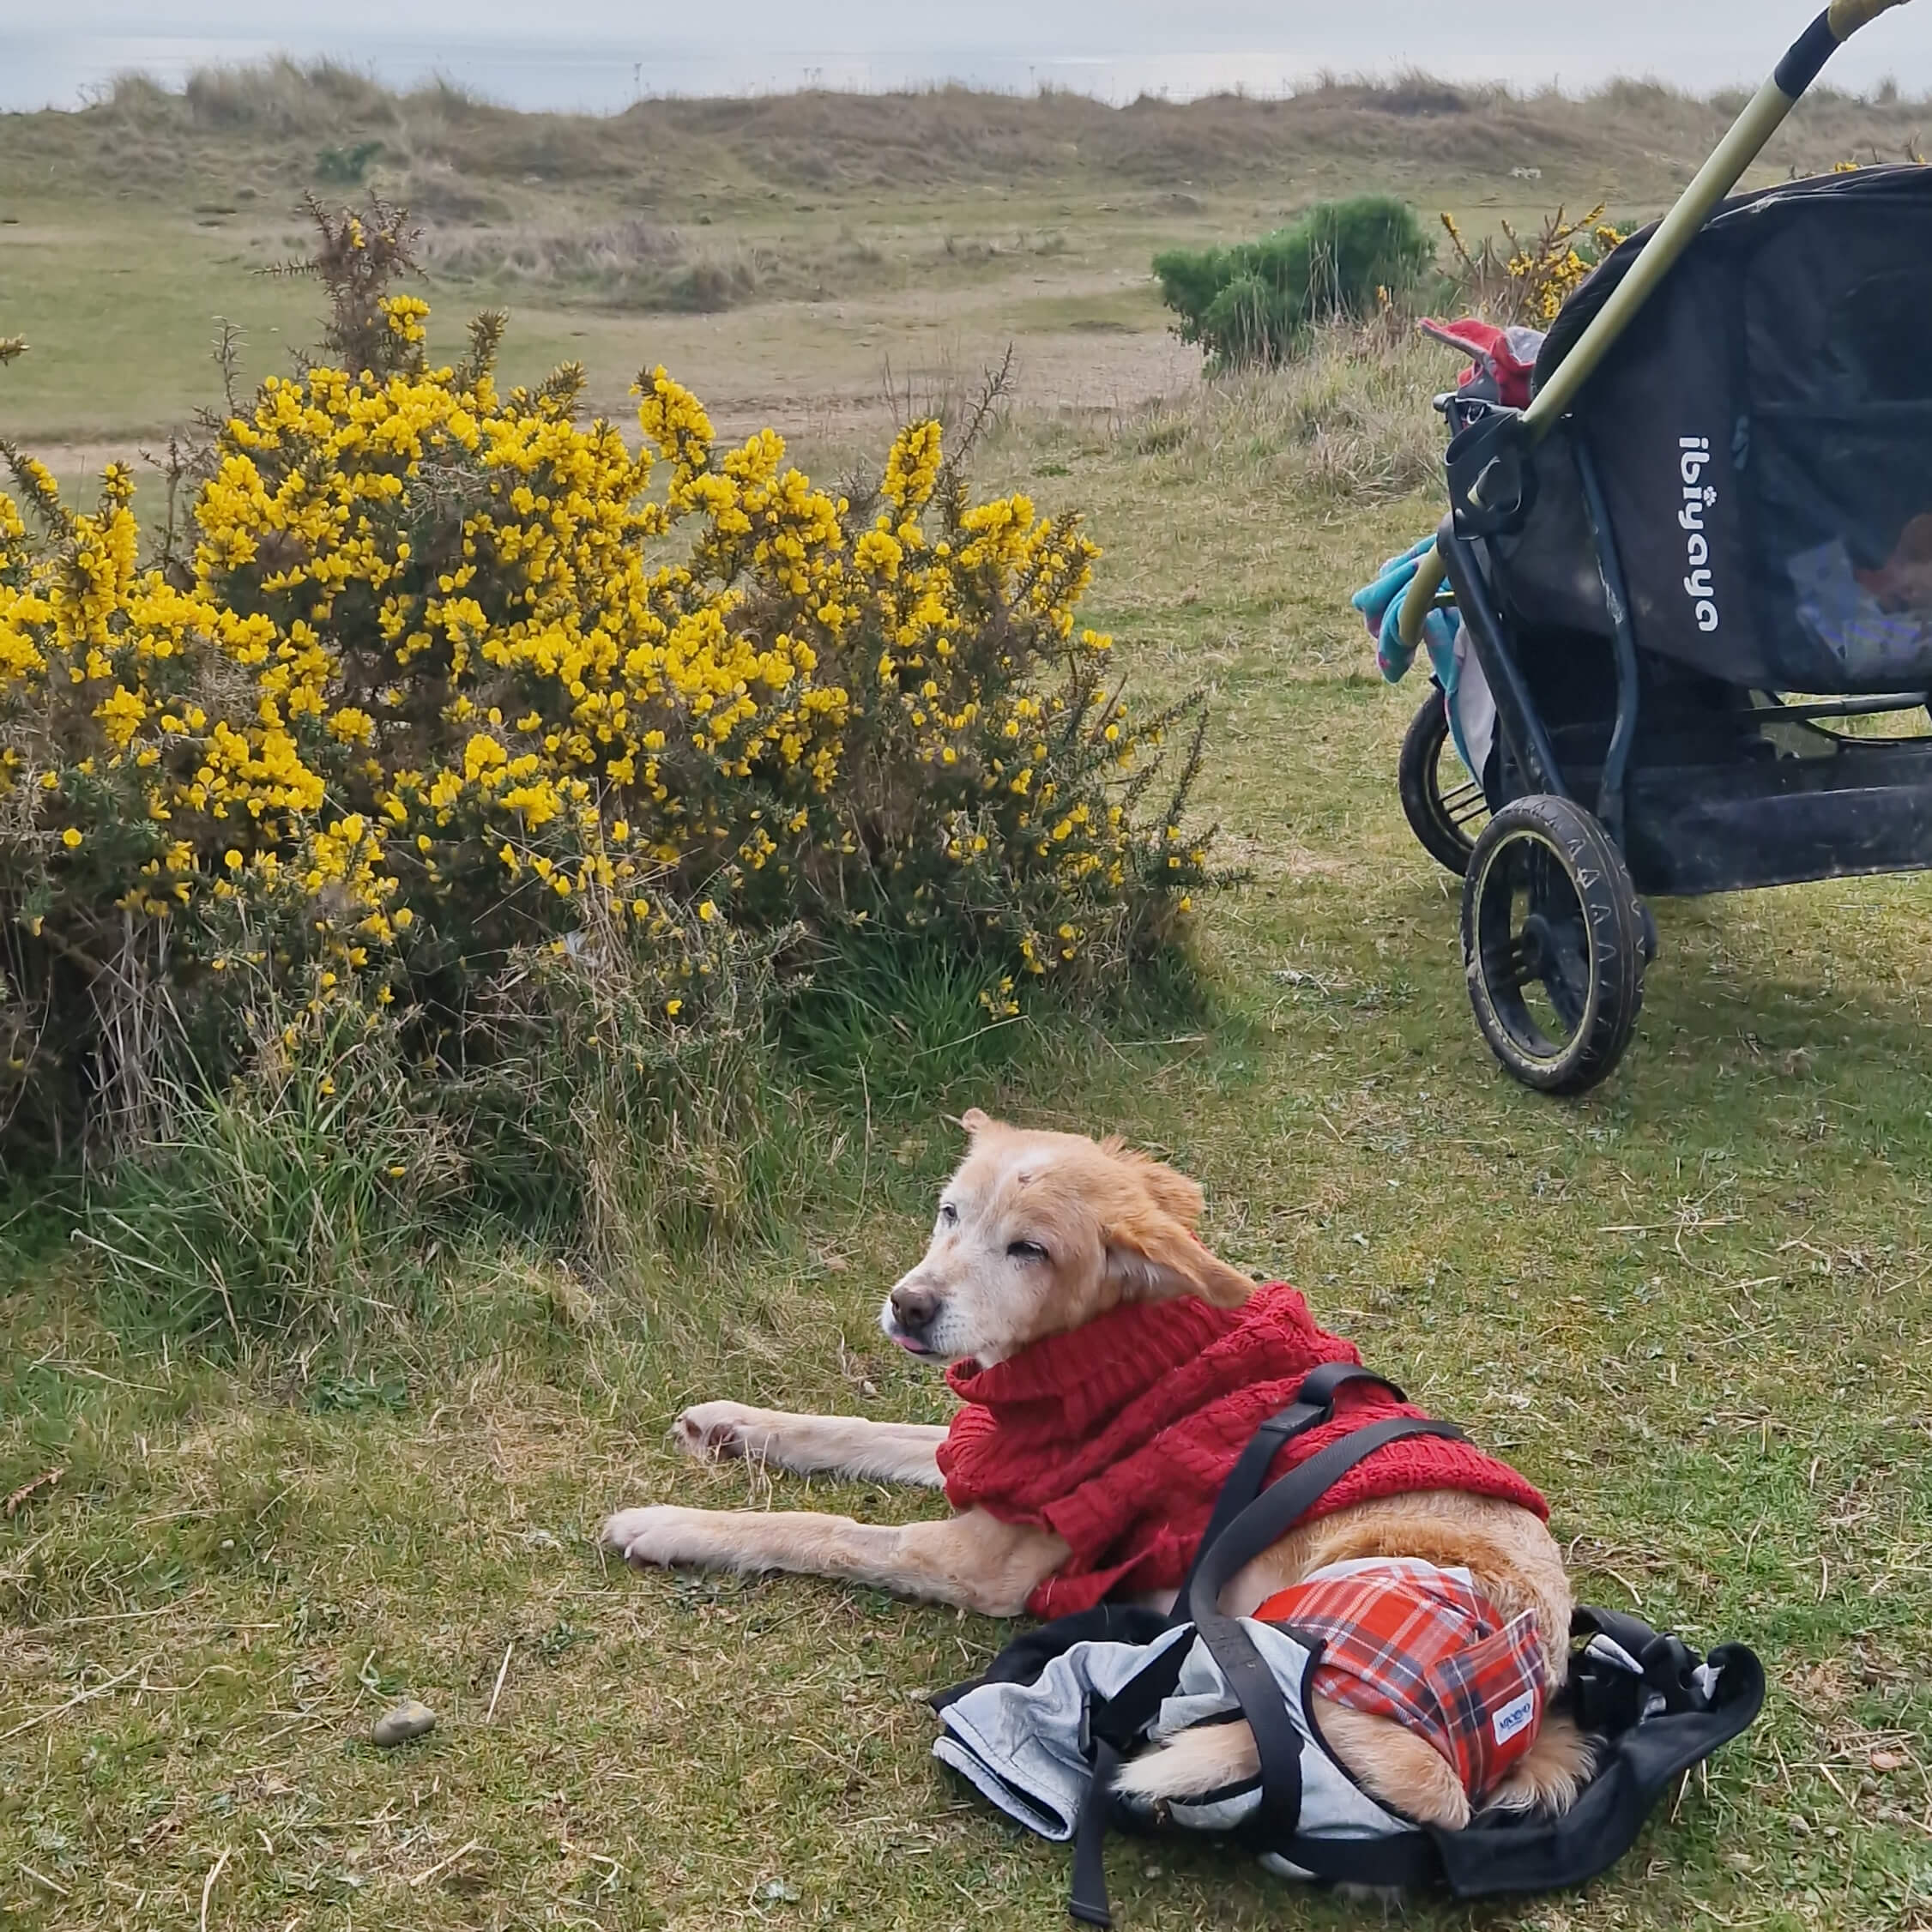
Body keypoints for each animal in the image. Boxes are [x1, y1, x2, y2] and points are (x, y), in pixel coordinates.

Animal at [602, 1110, 1594, 1830]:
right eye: (948, 1212)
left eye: (1029, 1250)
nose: (907, 1305)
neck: (1104, 1351)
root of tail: (1516, 1715)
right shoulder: (987, 1459)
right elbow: (849, 1429)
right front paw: (733, 1425)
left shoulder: (983, 1554)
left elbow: (816, 1527)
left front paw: (670, 1525)